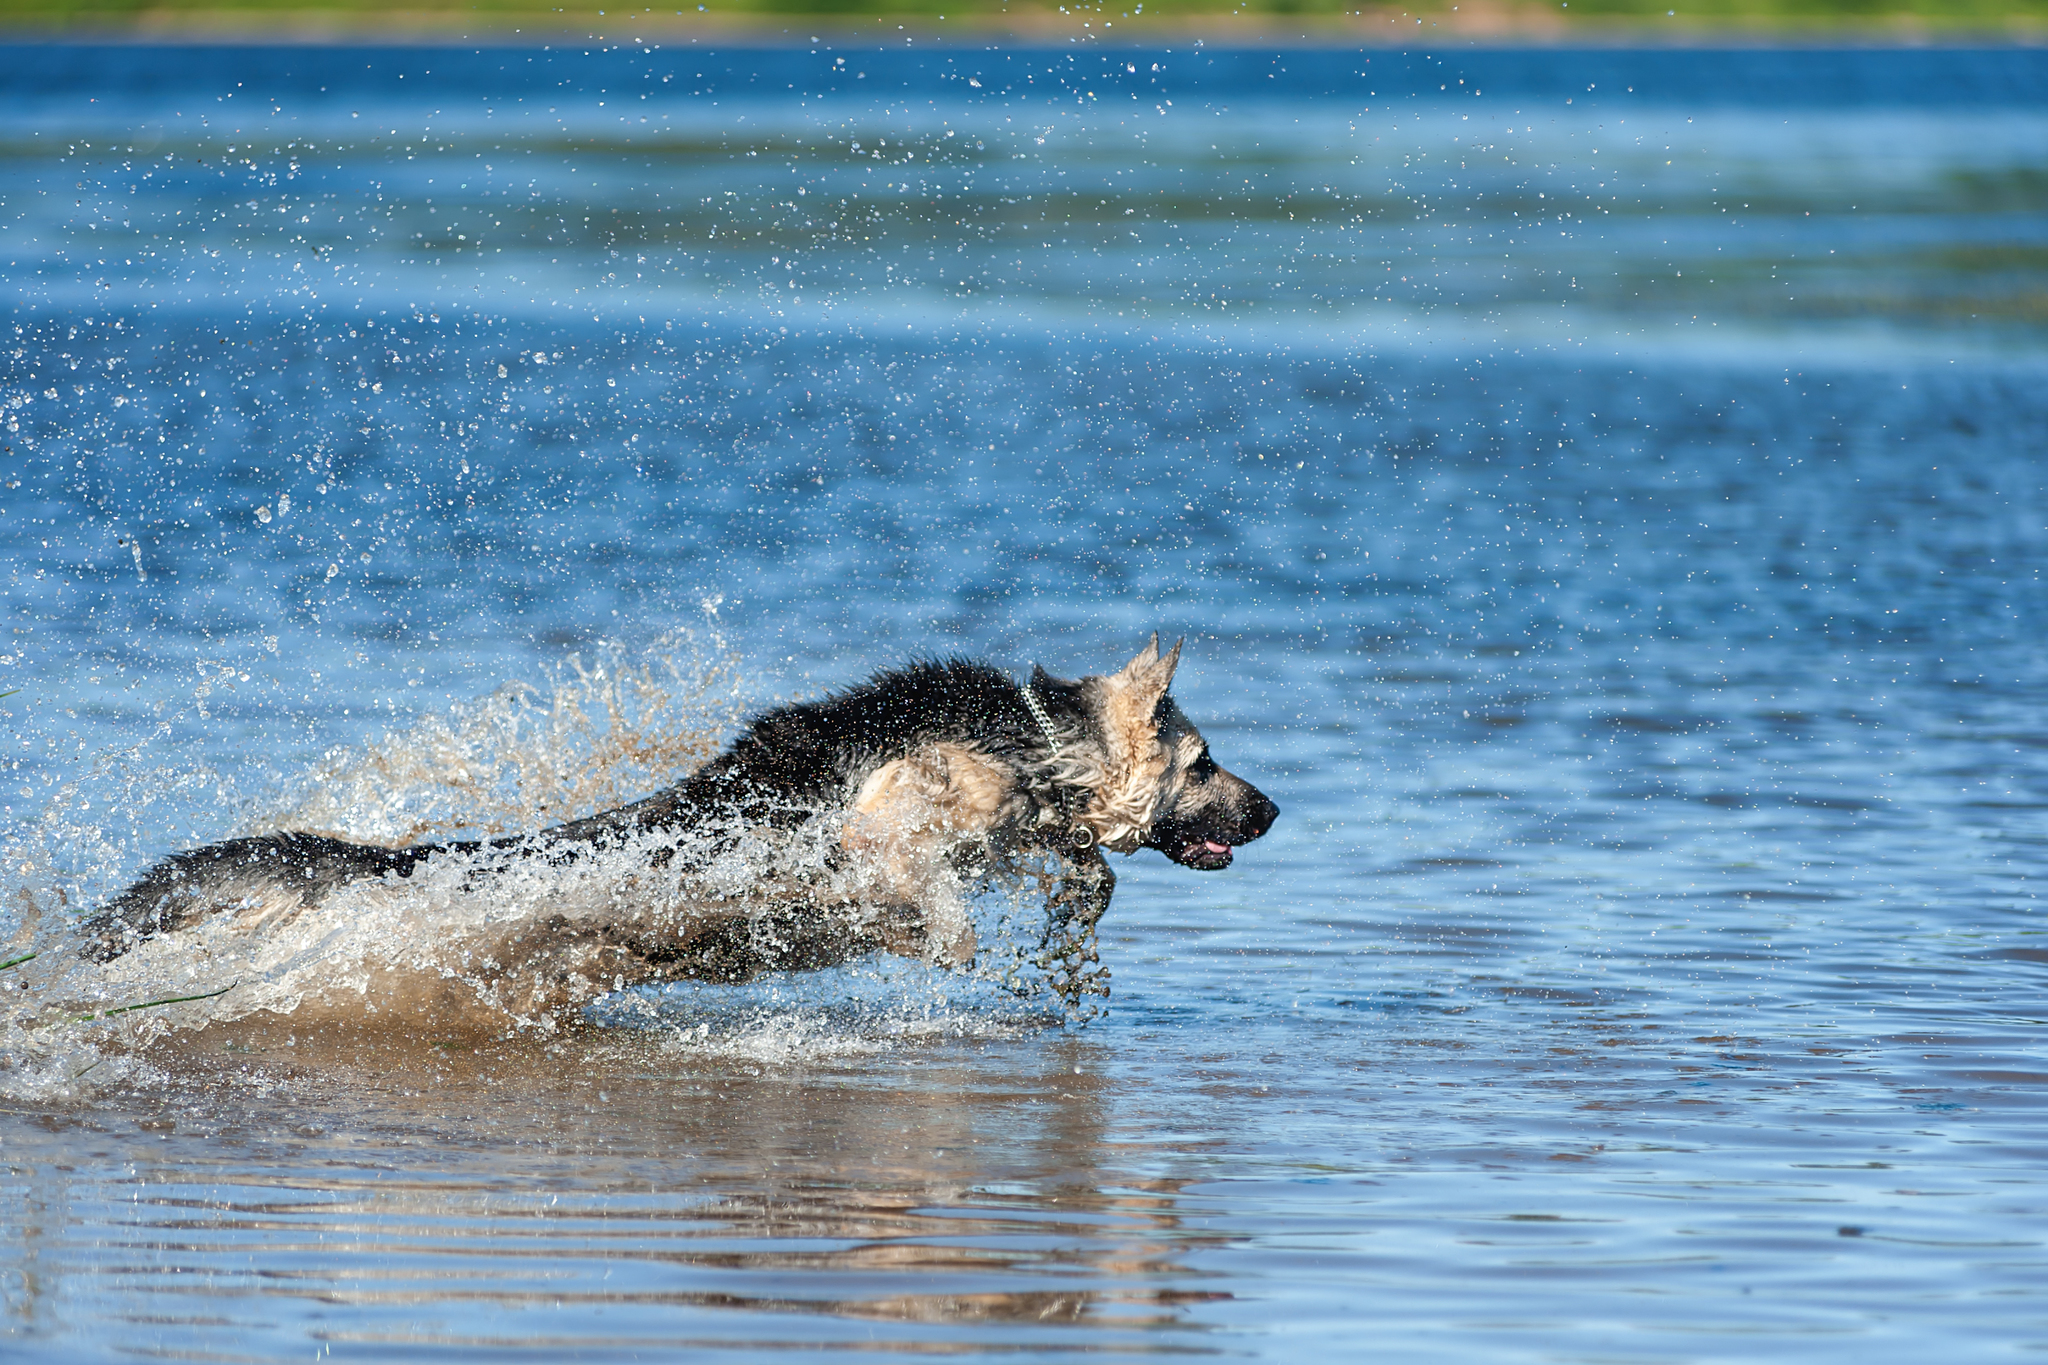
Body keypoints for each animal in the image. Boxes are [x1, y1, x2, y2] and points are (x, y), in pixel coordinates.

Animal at [83, 638, 1277, 1023]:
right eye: (1203, 763)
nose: (1273, 810)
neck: (1033, 739)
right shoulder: (891, 825)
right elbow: (941, 901)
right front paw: (936, 936)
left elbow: (1082, 871)